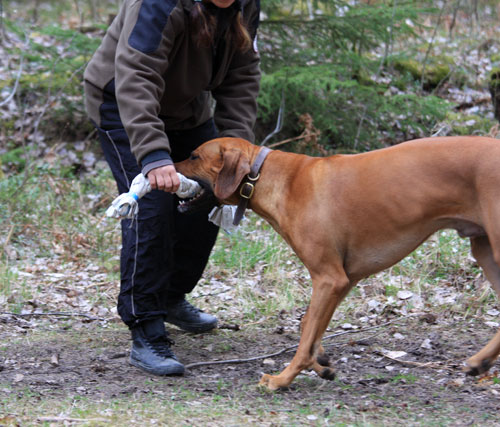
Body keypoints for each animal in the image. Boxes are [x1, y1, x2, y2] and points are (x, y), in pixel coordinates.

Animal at [175, 136, 500, 392]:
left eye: (194, 156)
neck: (273, 177)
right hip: (484, 250)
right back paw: (480, 360)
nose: (168, 168)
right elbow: (309, 325)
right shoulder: (344, 280)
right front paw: (321, 363)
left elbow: (306, 334)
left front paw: (283, 379)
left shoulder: (329, 278)